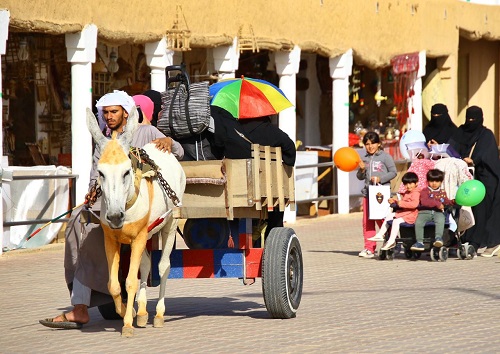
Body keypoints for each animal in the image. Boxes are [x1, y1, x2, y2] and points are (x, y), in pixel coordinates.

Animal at [87, 108, 187, 338]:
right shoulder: (111, 239)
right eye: (100, 172)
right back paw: (141, 312)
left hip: (169, 225)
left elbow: (131, 281)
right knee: (146, 264)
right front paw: (129, 311)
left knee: (163, 266)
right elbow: (114, 285)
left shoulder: (139, 236)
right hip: (148, 233)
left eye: (126, 171)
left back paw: (158, 314)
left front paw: (127, 324)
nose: (115, 217)